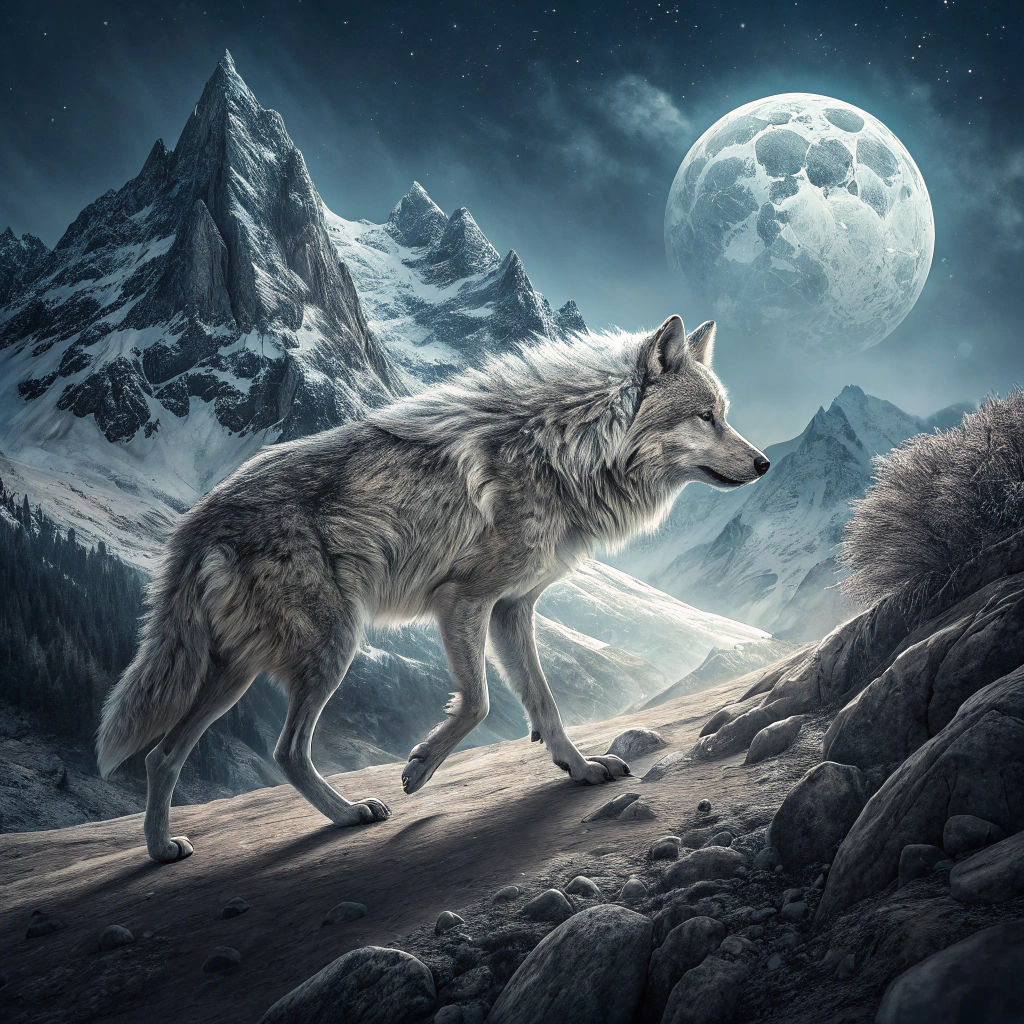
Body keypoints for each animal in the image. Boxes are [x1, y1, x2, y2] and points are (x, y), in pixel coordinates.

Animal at [96, 314, 769, 862]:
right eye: (706, 417)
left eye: (724, 414)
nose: (763, 463)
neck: (567, 451)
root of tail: (198, 519)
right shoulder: (462, 601)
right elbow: (479, 702)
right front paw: (419, 768)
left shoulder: (513, 609)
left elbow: (543, 703)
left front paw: (577, 769)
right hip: (331, 647)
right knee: (284, 750)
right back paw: (349, 815)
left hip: (237, 672)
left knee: (162, 755)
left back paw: (160, 850)